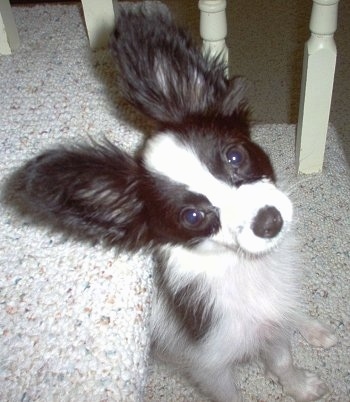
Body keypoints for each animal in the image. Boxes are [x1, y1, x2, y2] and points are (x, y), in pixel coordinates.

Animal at [19, 6, 336, 402]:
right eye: (193, 216)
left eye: (235, 156)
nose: (269, 221)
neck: (244, 269)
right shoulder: (210, 366)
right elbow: (238, 389)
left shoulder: (270, 321)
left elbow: (281, 360)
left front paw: (298, 385)